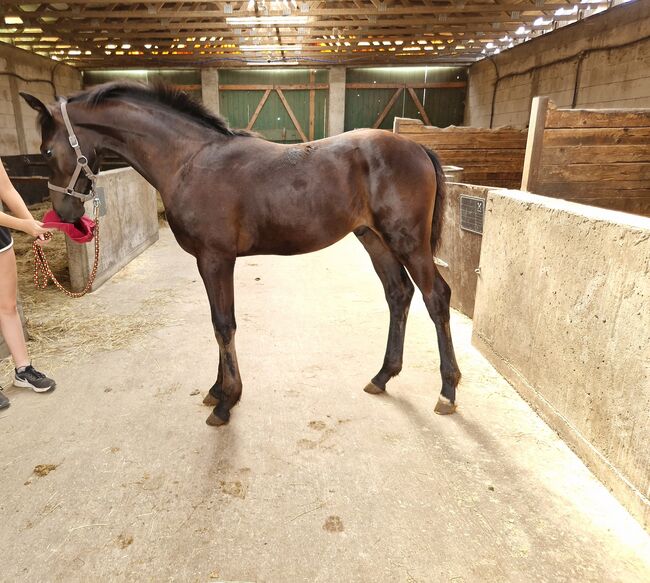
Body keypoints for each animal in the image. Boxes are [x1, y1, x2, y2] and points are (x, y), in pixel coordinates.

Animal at [21, 82, 460, 426]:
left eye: (46, 151)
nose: (65, 214)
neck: (189, 160)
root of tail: (418, 147)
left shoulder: (215, 258)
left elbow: (223, 325)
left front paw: (227, 401)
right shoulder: (210, 261)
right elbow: (218, 324)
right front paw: (218, 390)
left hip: (407, 241)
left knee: (436, 297)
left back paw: (448, 391)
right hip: (374, 238)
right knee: (399, 295)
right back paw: (383, 376)